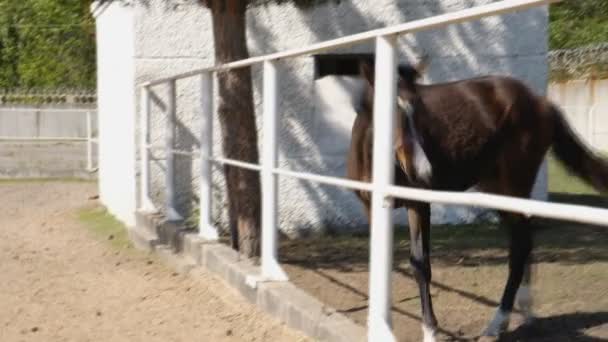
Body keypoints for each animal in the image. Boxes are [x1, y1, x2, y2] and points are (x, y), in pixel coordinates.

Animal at [346, 60, 608, 340]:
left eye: (418, 110)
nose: (424, 171)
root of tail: (542, 102)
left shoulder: (419, 205)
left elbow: (420, 264)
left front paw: (430, 331)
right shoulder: (371, 208)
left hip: (513, 186)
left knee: (520, 246)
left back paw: (496, 325)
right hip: (498, 191)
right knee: (524, 241)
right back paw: (524, 314)